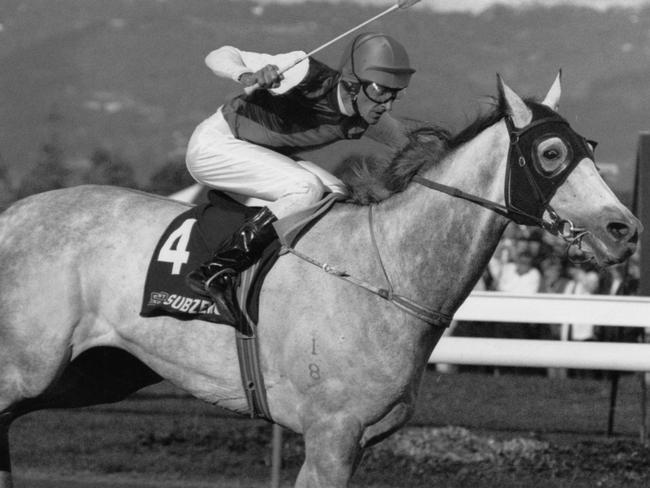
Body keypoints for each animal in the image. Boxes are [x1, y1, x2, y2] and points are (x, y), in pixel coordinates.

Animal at [0, 73, 636, 488]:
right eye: (551, 153)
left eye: (589, 147)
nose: (624, 229)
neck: (385, 270)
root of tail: (12, 214)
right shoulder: (331, 435)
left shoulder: (361, 441)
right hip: (31, 367)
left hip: (94, 373)